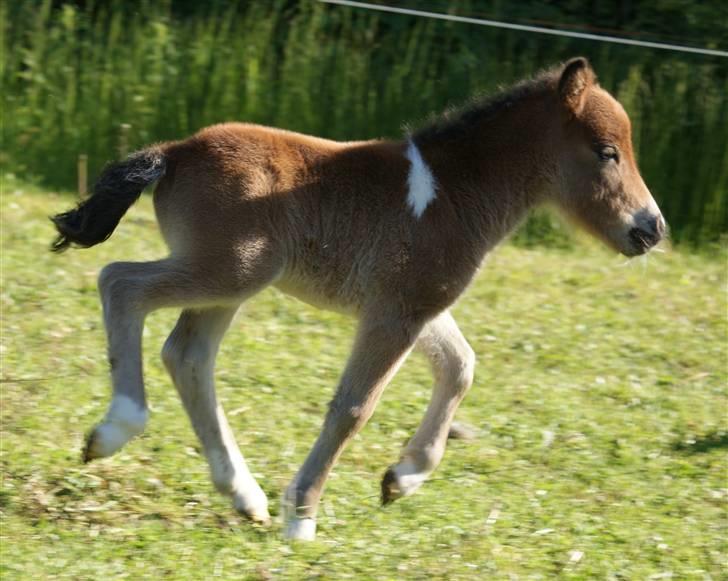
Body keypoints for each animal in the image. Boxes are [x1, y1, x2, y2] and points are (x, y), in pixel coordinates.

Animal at [51, 58, 665, 540]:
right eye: (606, 152)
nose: (650, 228)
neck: (452, 193)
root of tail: (175, 150)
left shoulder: (414, 306)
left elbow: (460, 367)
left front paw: (403, 477)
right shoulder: (396, 313)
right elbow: (354, 408)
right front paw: (302, 518)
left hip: (231, 284)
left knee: (187, 355)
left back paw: (244, 495)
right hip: (228, 272)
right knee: (121, 284)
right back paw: (116, 429)